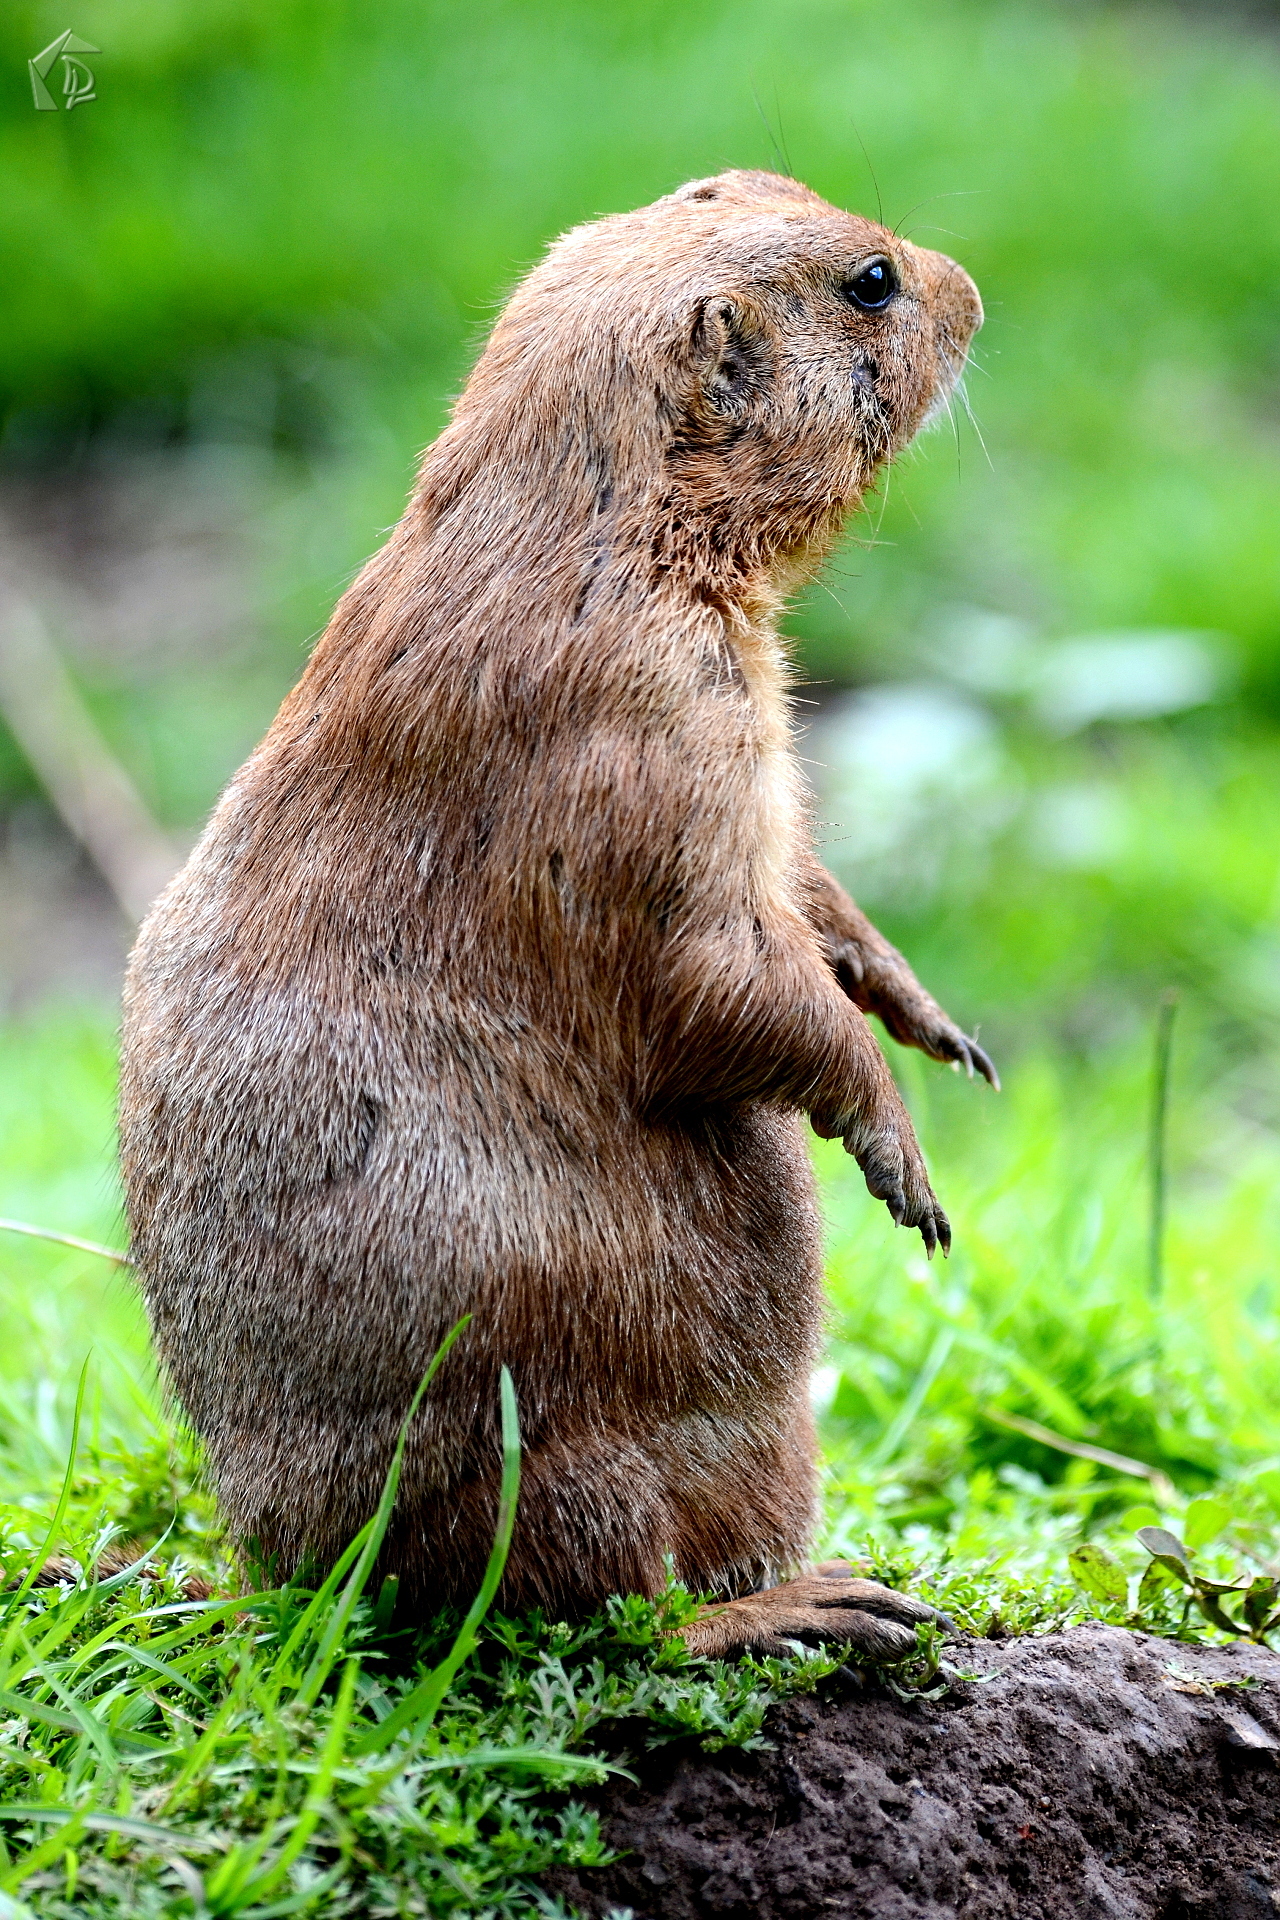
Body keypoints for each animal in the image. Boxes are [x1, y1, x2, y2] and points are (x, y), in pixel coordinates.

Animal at [119, 171, 994, 1660]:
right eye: (872, 282)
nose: (975, 288)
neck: (599, 517)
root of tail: (278, 1570)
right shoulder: (641, 728)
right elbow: (715, 963)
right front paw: (907, 1165)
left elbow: (802, 893)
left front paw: (937, 1025)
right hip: (549, 1439)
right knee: (596, 1607)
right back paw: (809, 1605)